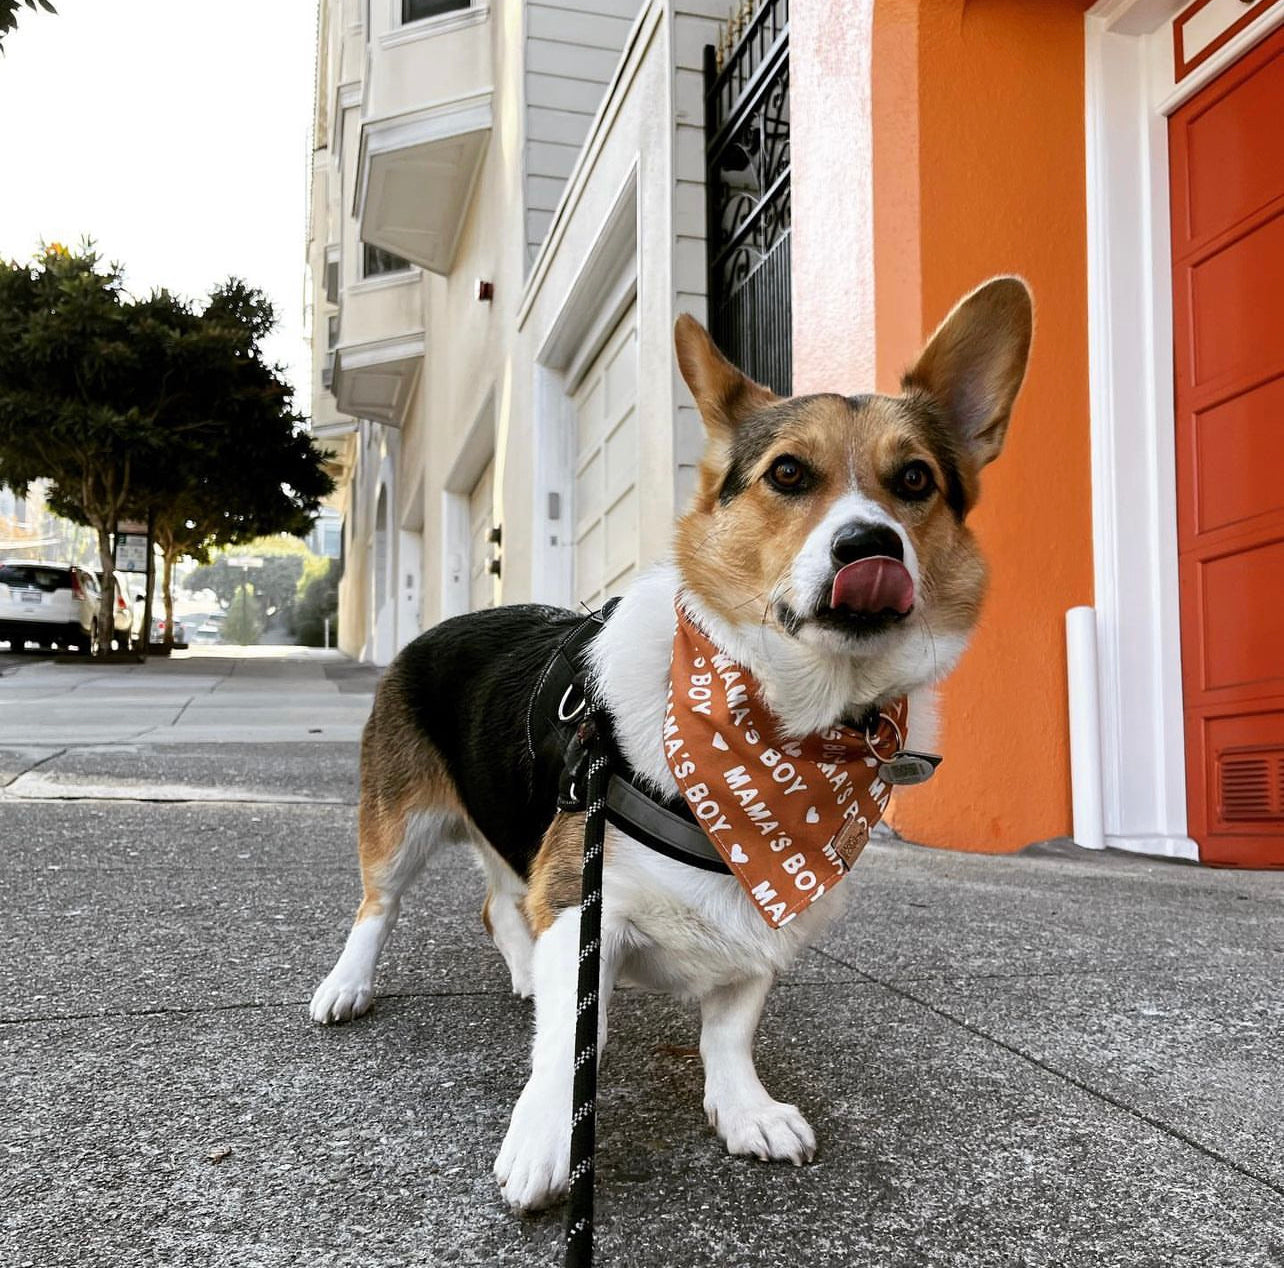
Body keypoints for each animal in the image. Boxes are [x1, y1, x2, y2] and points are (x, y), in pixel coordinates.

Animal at [308, 274, 1032, 1206]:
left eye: (915, 480)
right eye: (787, 472)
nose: (870, 546)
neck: (779, 729)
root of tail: (446, 623)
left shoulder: (758, 933)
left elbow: (731, 1027)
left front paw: (745, 1107)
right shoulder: (584, 903)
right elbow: (568, 1044)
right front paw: (545, 1137)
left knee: (498, 900)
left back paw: (518, 972)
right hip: (398, 825)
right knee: (379, 906)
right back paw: (347, 985)